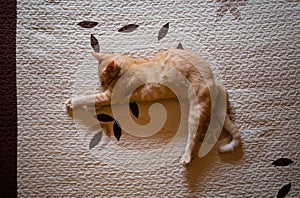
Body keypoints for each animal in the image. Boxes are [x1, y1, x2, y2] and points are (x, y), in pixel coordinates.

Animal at [65, 49, 239, 166]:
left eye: (102, 79)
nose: (101, 84)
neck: (128, 67)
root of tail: (214, 80)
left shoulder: (109, 96)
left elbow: (89, 98)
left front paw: (73, 102)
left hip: (196, 110)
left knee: (196, 134)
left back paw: (187, 157)